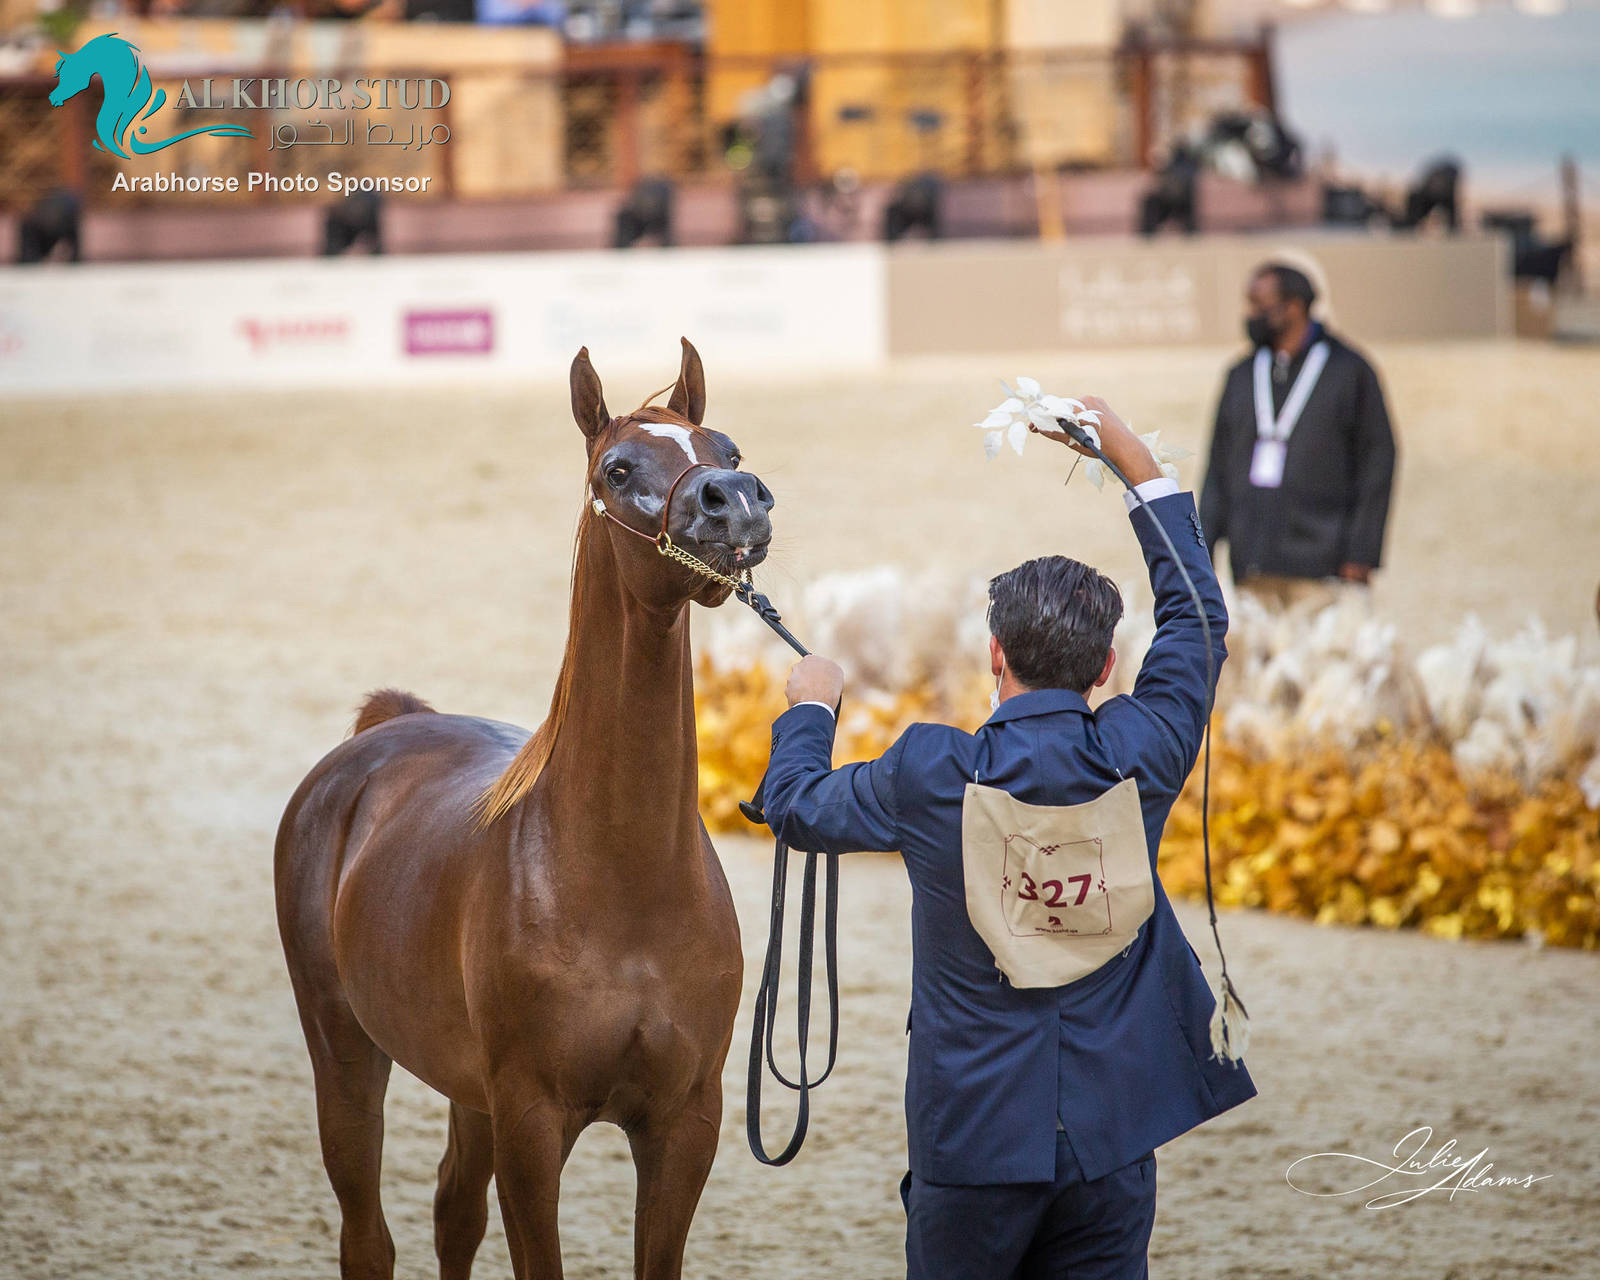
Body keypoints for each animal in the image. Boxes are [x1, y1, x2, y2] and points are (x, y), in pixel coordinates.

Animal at [275, 339, 773, 1279]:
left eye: (726, 449)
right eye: (618, 469)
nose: (735, 502)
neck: (621, 881)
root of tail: (386, 729)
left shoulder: (686, 1125)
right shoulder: (534, 1129)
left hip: (467, 1093)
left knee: (451, 1214)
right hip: (345, 1052)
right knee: (368, 1237)